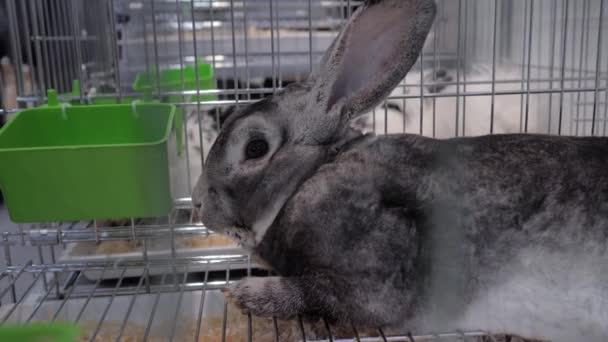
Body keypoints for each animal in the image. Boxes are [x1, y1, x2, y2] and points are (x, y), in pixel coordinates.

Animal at [191, 1, 608, 340]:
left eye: (255, 147)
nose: (196, 203)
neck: (308, 179)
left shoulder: (376, 275)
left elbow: (314, 291)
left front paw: (244, 293)